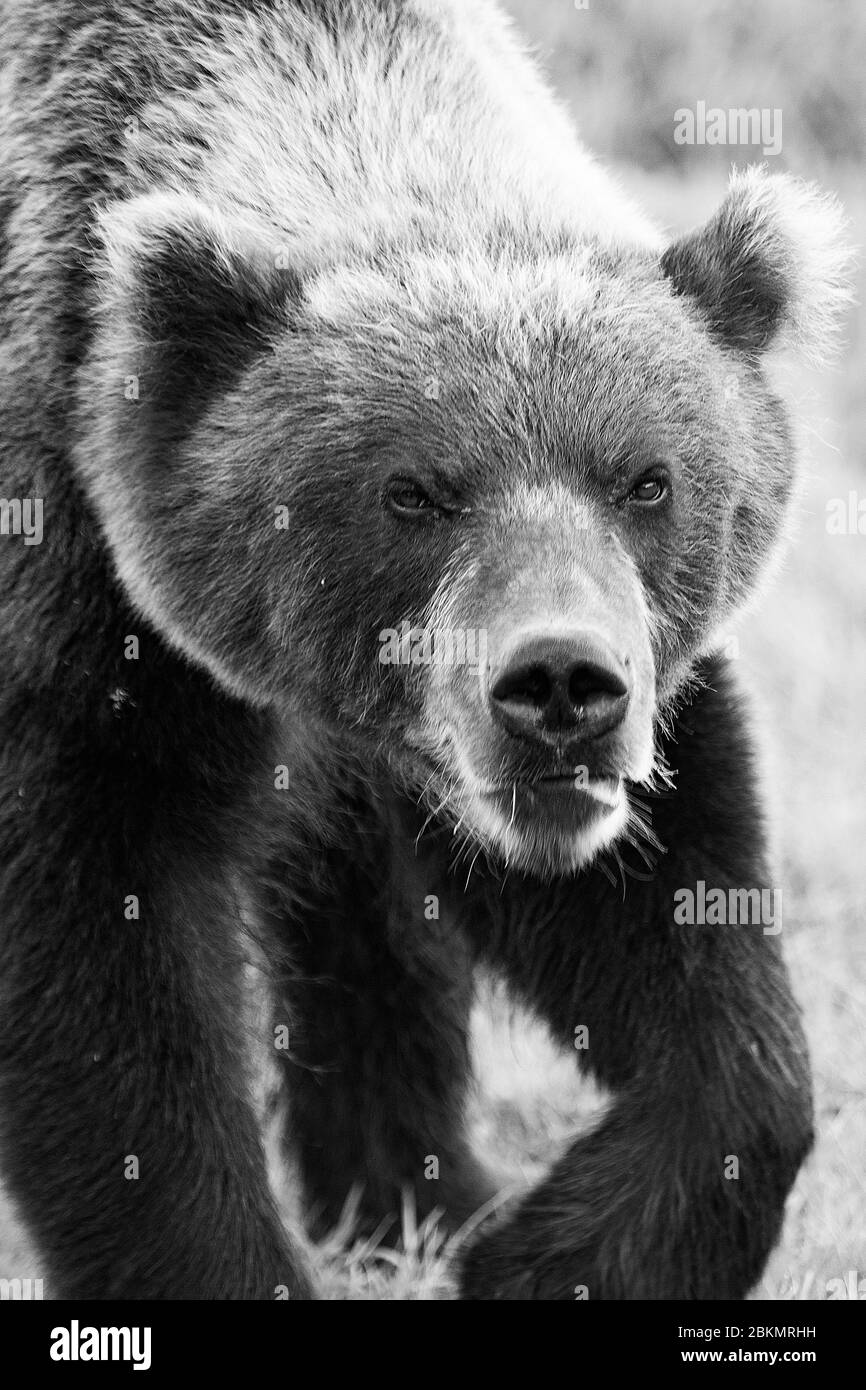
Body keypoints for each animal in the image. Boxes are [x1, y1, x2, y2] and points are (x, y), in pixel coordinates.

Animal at [0, 2, 856, 1301]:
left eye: (645, 479)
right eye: (412, 492)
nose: (559, 686)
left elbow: (678, 926)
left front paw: (546, 1250)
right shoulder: (79, 626)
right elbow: (104, 972)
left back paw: (426, 1190)